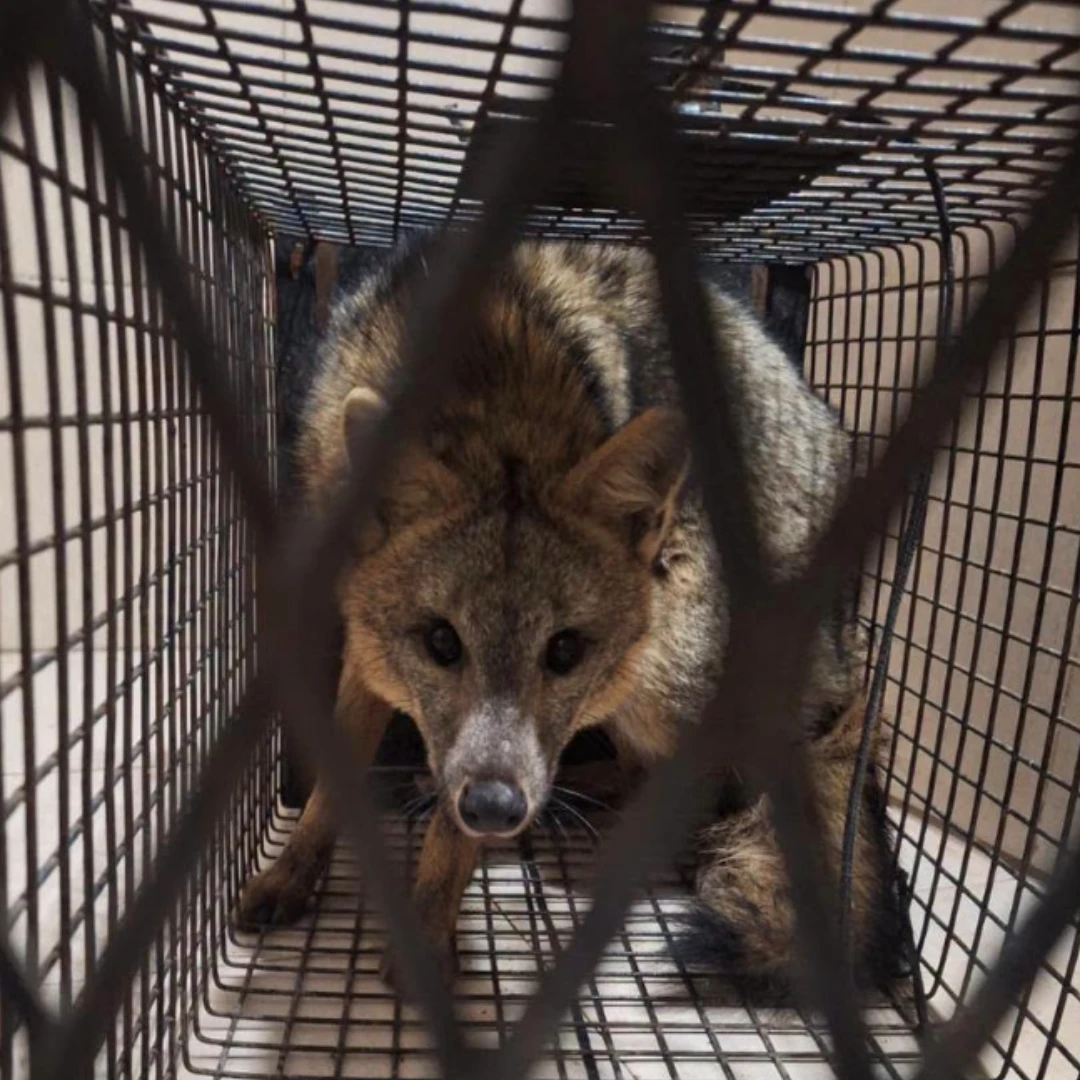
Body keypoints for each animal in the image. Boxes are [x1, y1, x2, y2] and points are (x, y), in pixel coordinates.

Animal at [238, 237, 906, 999]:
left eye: (563, 650)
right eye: (441, 641)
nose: (496, 808)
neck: (489, 381)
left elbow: (449, 838)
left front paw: (429, 930)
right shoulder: (367, 650)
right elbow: (330, 789)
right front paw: (293, 872)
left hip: (659, 658)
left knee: (700, 788)